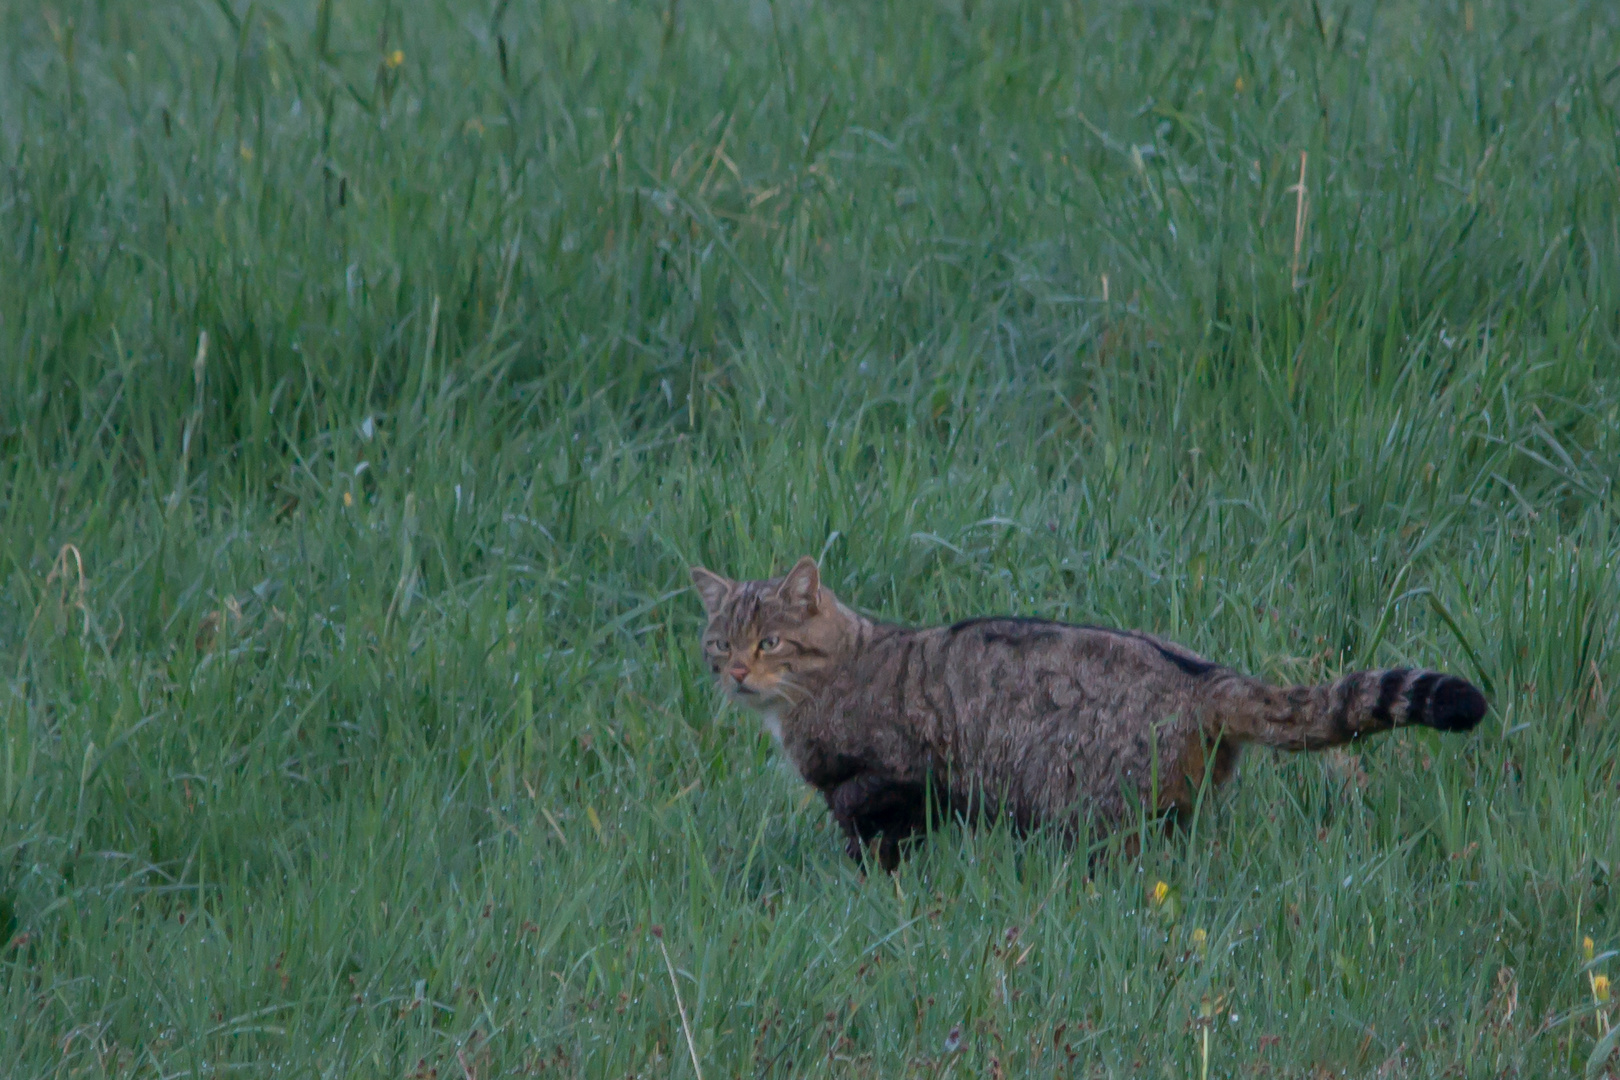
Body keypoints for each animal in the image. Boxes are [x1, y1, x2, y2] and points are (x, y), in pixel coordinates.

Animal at [690, 557, 1483, 867]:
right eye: (719, 643)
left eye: (769, 642)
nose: (736, 673)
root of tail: (1205, 675)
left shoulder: (891, 779)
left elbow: (872, 836)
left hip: (1095, 812)